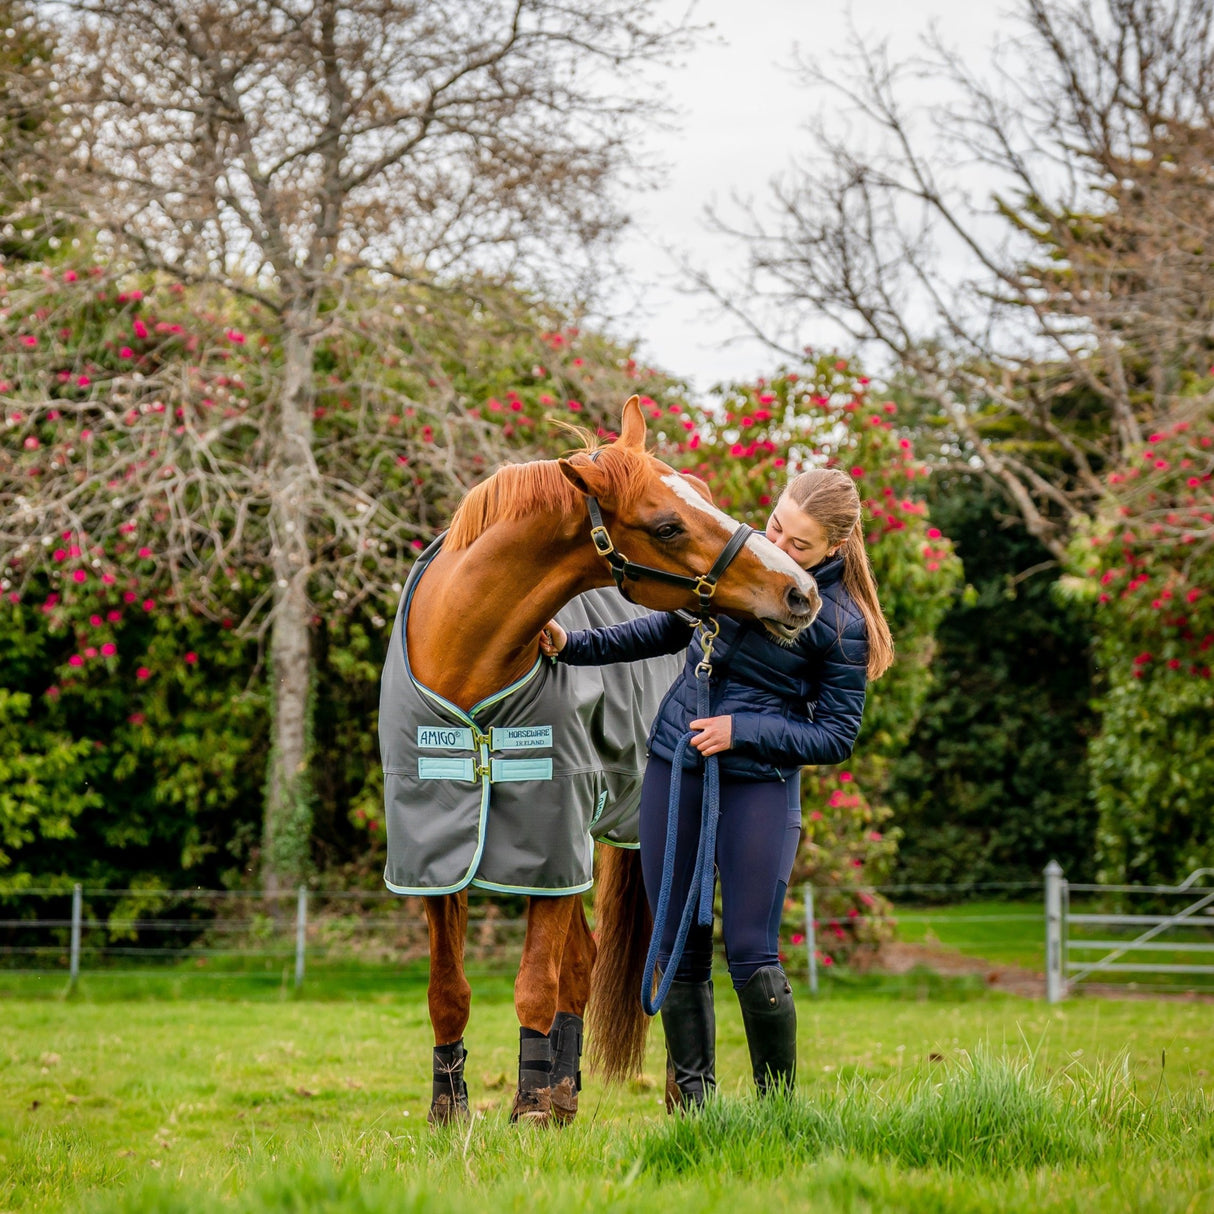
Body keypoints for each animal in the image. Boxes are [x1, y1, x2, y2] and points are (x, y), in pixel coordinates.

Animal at [386, 400, 825, 1126]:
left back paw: (674, 1100)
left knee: (664, 956)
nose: (801, 591)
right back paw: (565, 1093)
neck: (467, 666)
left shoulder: (554, 846)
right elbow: (449, 990)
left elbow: (536, 983)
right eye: (667, 525)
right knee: (590, 964)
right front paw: (452, 1111)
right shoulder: (433, 852)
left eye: (701, 495)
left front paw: (530, 1110)